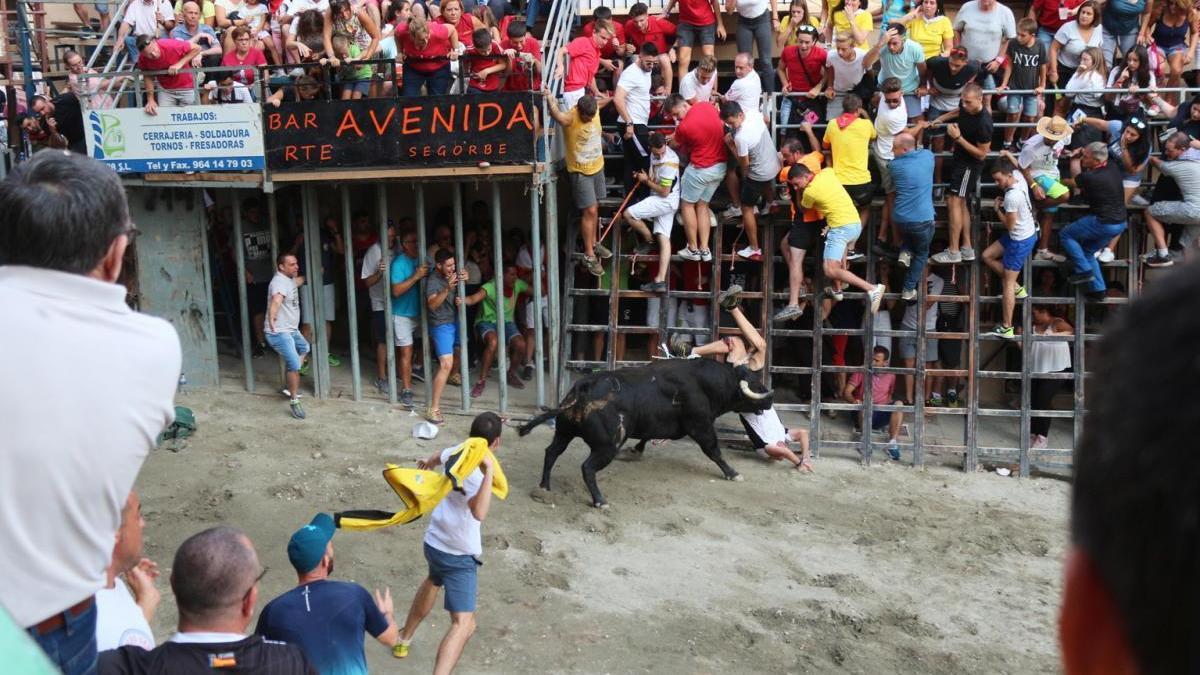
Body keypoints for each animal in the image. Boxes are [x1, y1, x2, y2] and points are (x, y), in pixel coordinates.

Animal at [520, 360, 772, 502]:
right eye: (755, 382)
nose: (770, 399)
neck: (706, 382)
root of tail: (584, 387)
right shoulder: (700, 424)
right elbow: (714, 450)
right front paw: (733, 473)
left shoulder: (654, 422)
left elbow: (647, 436)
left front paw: (635, 452)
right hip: (606, 447)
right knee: (587, 467)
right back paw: (600, 500)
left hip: (564, 432)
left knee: (551, 452)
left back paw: (544, 488)